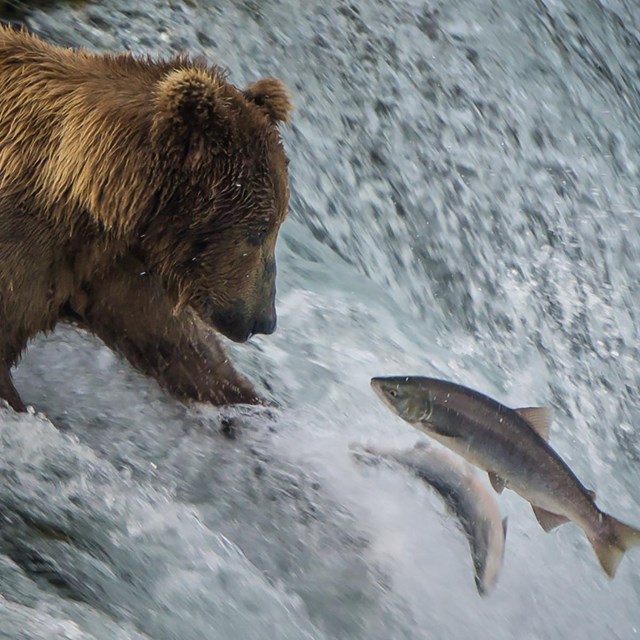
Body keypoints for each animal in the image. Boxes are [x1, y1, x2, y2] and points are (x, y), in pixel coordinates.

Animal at [0, 23, 292, 410]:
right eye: (259, 231)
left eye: (277, 223)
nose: (265, 319)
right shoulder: (29, 244)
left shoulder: (111, 266)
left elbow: (186, 354)